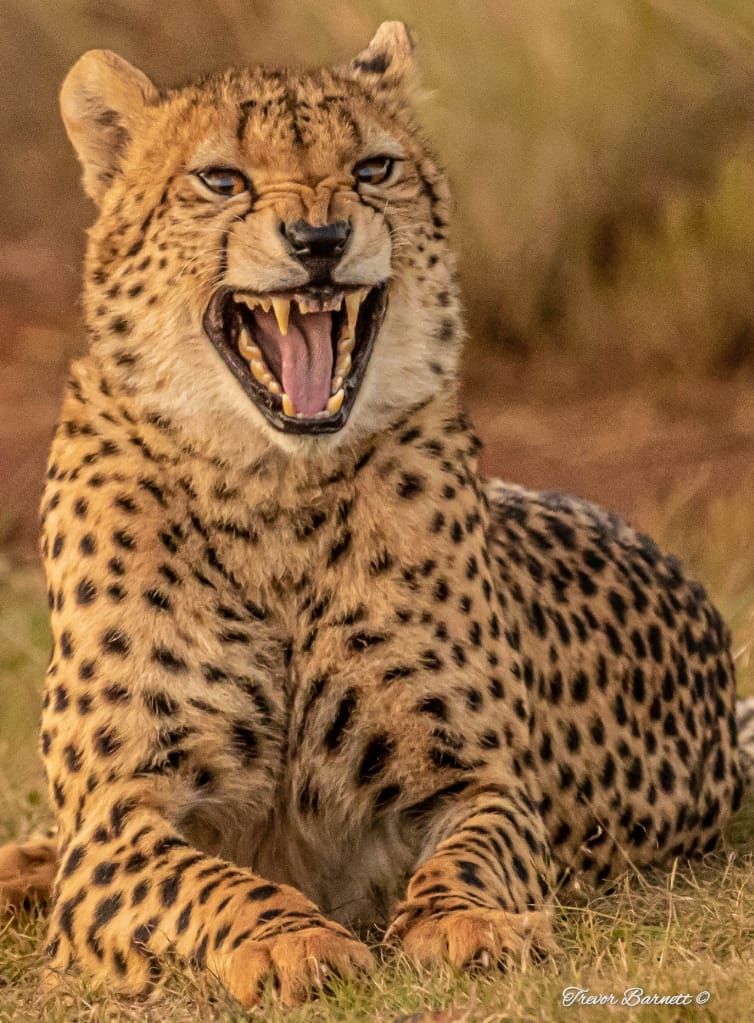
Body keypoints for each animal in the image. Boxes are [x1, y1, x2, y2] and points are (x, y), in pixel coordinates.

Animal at [0, 20, 749, 1009]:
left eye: (374, 168)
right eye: (221, 179)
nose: (320, 237)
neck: (274, 494)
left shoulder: (482, 778)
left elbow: (478, 850)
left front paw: (470, 923)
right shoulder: (117, 810)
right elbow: (204, 879)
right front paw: (289, 939)